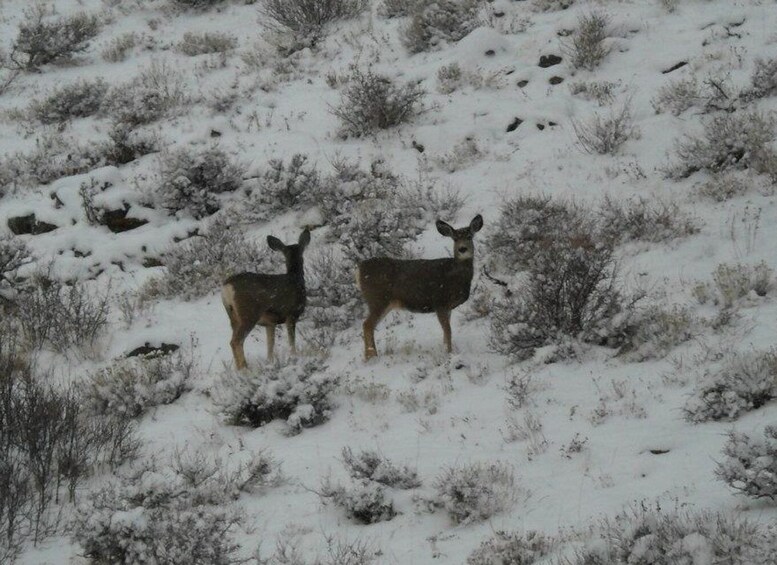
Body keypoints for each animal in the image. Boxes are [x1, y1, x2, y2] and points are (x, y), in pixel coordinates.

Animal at [221, 227, 310, 368]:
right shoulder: (291, 314)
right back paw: (245, 369)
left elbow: (270, 346)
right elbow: (291, 342)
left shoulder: (270, 323)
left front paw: (270, 363)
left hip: (233, 317)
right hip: (248, 314)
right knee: (235, 341)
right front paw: (294, 357)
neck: (296, 279)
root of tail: (227, 287)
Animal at [356, 214, 478, 360]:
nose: (462, 249)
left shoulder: (448, 307)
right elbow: (448, 330)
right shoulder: (440, 302)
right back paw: (372, 357)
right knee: (367, 325)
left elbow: (446, 331)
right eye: (455, 238)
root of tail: (360, 268)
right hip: (378, 299)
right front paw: (449, 353)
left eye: (469, 236)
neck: (455, 276)